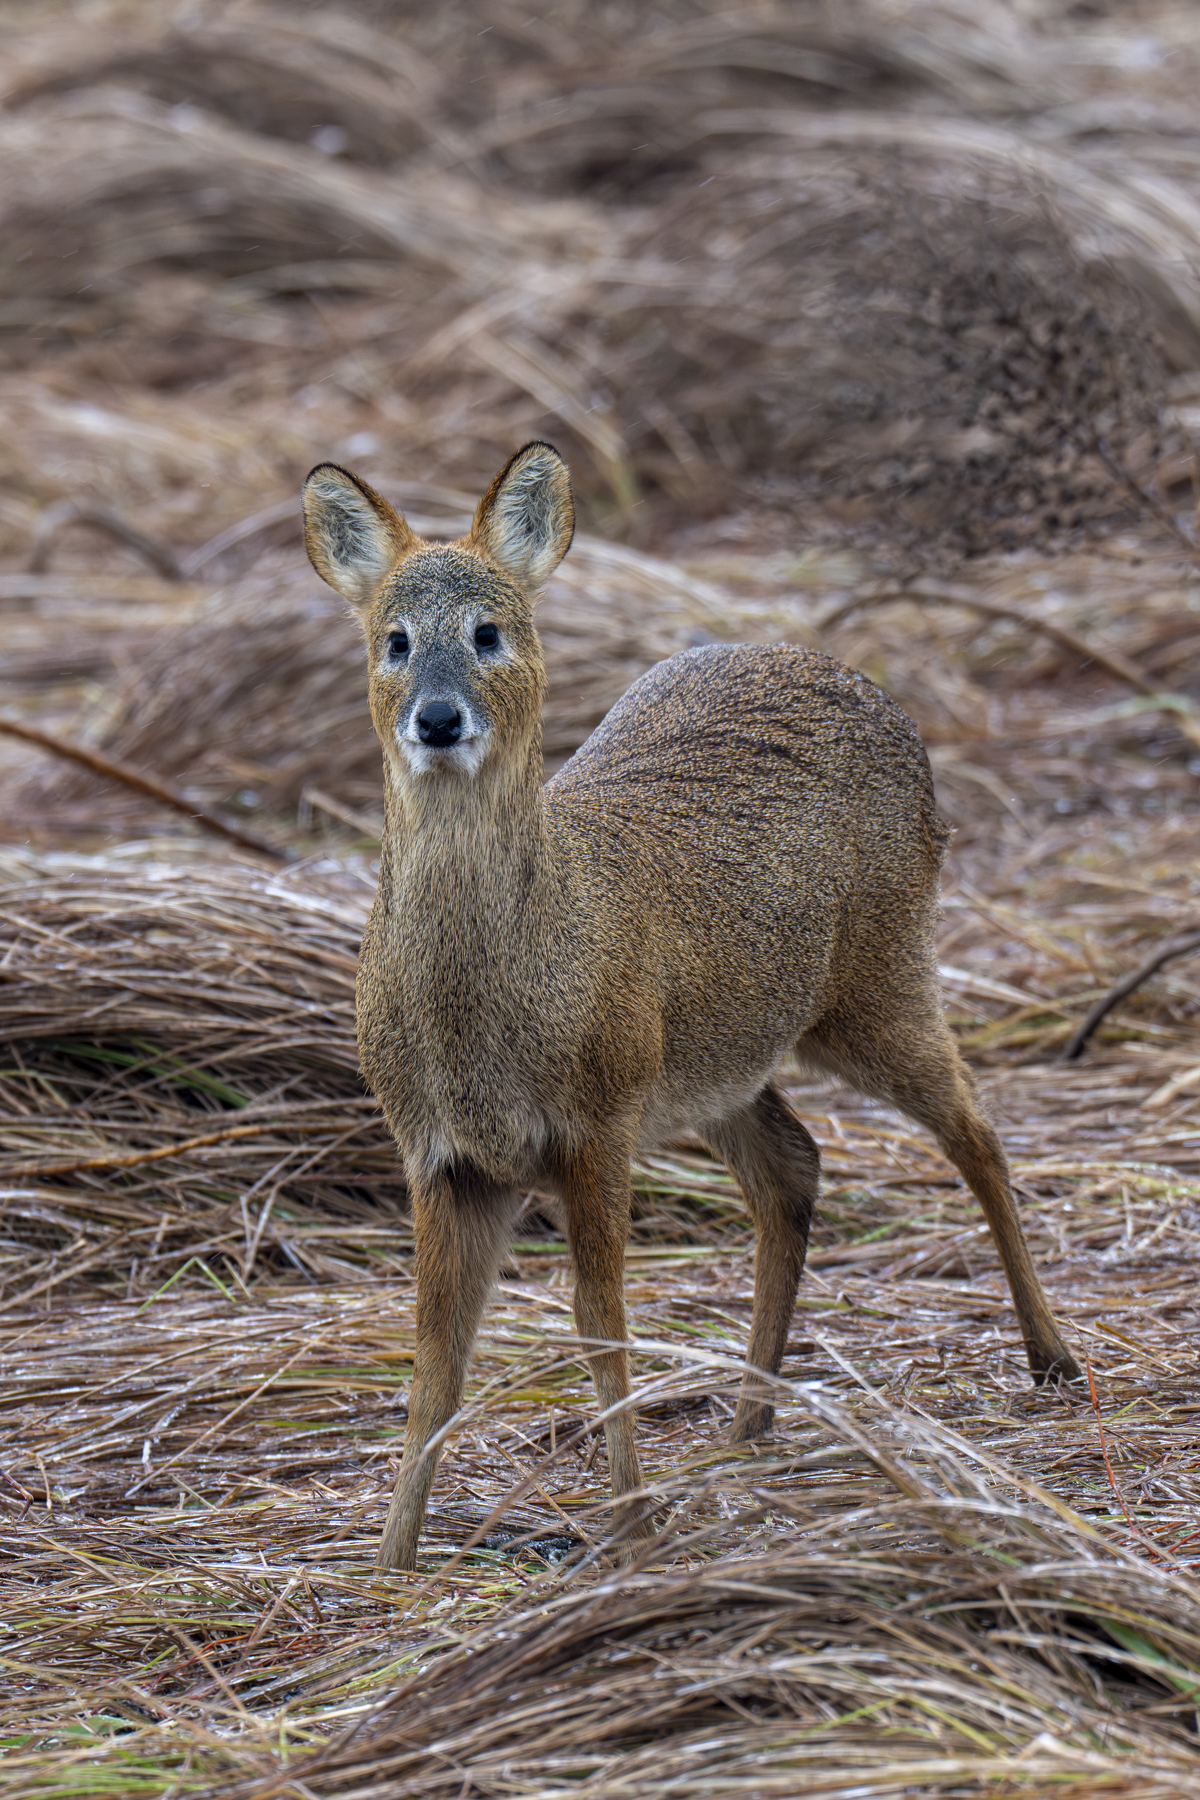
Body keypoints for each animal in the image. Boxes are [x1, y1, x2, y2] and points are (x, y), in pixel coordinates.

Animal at [301, 440, 1081, 1573]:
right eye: (394, 640)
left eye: (490, 630)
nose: (438, 718)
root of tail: (856, 680)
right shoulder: (441, 1154)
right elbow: (437, 1360)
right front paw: (392, 1563)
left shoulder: (598, 1117)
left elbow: (601, 1325)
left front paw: (632, 1525)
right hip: (725, 1060)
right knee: (794, 1170)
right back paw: (751, 1417)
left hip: (880, 974)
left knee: (977, 1132)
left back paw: (1051, 1356)